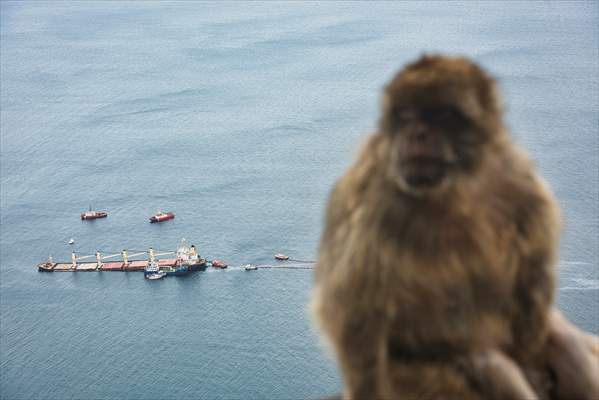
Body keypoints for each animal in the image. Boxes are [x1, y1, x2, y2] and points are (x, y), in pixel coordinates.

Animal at [314, 55, 564, 400]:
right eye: (406, 115)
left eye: (443, 115)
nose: (417, 133)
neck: (455, 189)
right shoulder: (377, 196)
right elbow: (355, 311)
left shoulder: (519, 179)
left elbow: (533, 273)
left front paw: (532, 365)